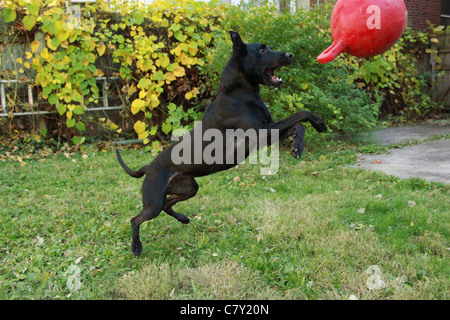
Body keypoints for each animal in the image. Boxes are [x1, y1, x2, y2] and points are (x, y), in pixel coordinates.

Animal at [116, 31, 326, 256]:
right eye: (262, 50)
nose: (289, 55)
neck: (239, 93)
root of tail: (148, 167)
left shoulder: (269, 131)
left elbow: (298, 125)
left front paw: (298, 145)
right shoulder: (261, 132)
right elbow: (301, 113)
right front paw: (318, 122)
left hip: (189, 188)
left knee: (167, 205)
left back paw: (183, 219)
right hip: (154, 201)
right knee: (136, 219)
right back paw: (136, 246)